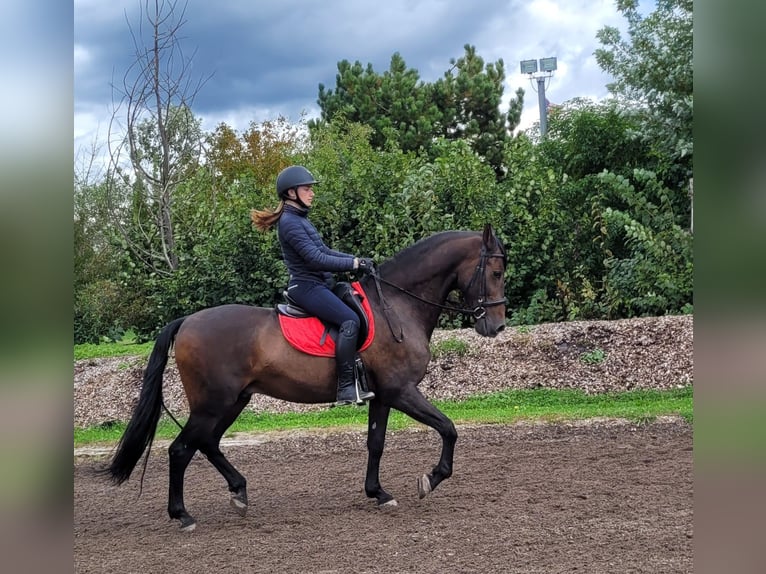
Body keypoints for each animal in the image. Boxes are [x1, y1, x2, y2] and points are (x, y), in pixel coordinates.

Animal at [105, 223, 508, 532]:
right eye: (496, 273)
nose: (496, 326)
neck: (396, 306)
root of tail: (187, 321)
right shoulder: (401, 391)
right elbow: (449, 429)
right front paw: (430, 479)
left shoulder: (382, 396)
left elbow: (376, 444)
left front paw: (378, 493)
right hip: (212, 404)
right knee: (180, 449)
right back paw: (183, 515)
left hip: (233, 401)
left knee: (207, 443)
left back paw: (238, 492)